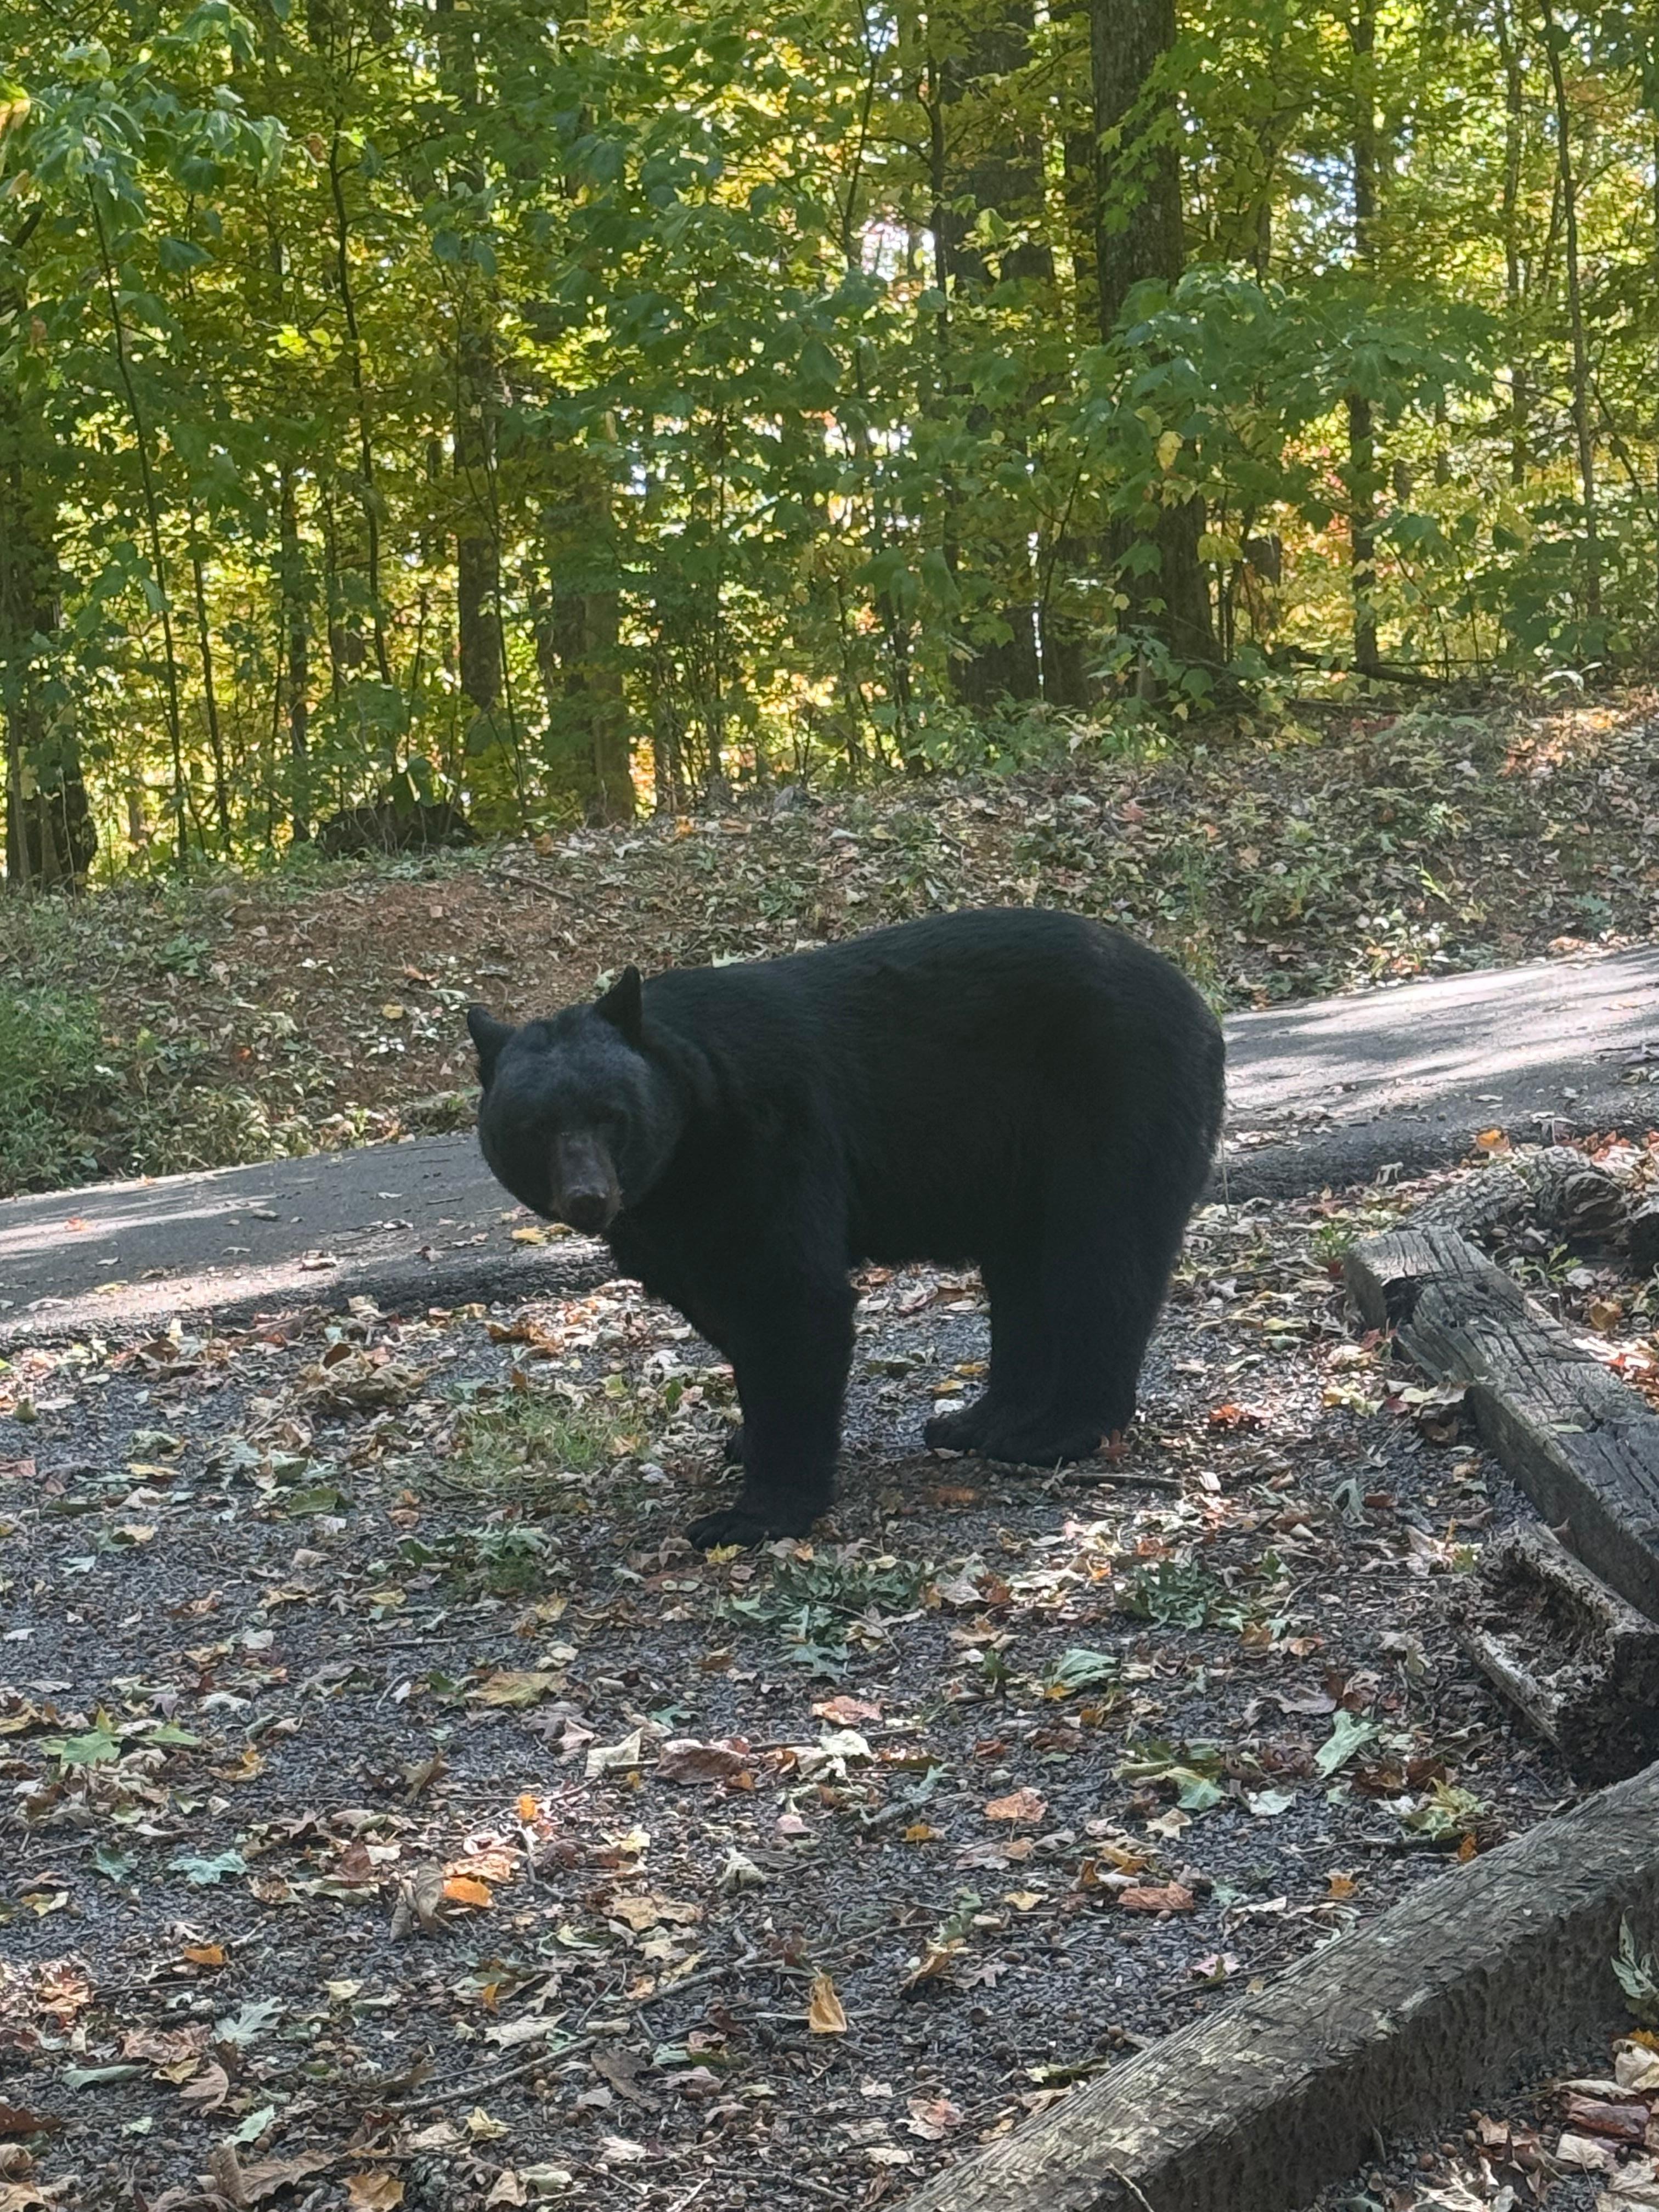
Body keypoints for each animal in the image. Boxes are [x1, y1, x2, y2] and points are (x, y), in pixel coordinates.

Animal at [467, 907, 1225, 1549]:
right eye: (534, 1127)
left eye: (610, 1114)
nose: (588, 1198)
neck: (688, 1147)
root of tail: (1197, 1002)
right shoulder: (673, 1224)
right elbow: (723, 1309)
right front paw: (746, 1439)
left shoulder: (772, 1142)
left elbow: (792, 1302)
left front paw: (755, 1512)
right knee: (1025, 1280)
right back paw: (981, 1419)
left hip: (1115, 1104)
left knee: (1100, 1262)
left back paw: (1058, 1433)